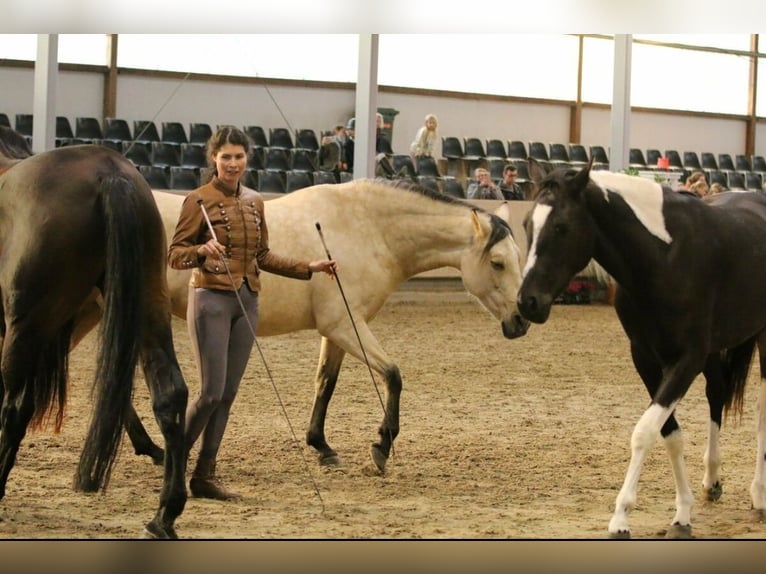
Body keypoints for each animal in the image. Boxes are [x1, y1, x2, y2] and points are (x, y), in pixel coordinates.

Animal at [0, 129, 189, 540]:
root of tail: (108, 172)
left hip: (27, 324)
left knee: (16, 407)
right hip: (147, 303)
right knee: (168, 393)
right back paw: (164, 514)